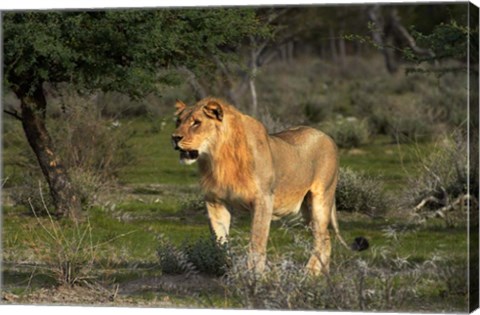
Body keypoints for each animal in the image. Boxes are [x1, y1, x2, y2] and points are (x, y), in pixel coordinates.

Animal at [172, 97, 348, 276]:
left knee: (321, 238)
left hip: (321, 199)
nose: (174, 137)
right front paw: (227, 268)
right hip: (307, 209)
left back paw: (309, 271)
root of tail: (327, 136)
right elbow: (219, 240)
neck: (217, 157)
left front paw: (254, 274)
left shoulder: (263, 199)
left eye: (196, 123)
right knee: (326, 238)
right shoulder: (215, 201)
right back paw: (321, 272)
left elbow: (257, 240)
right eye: (178, 121)